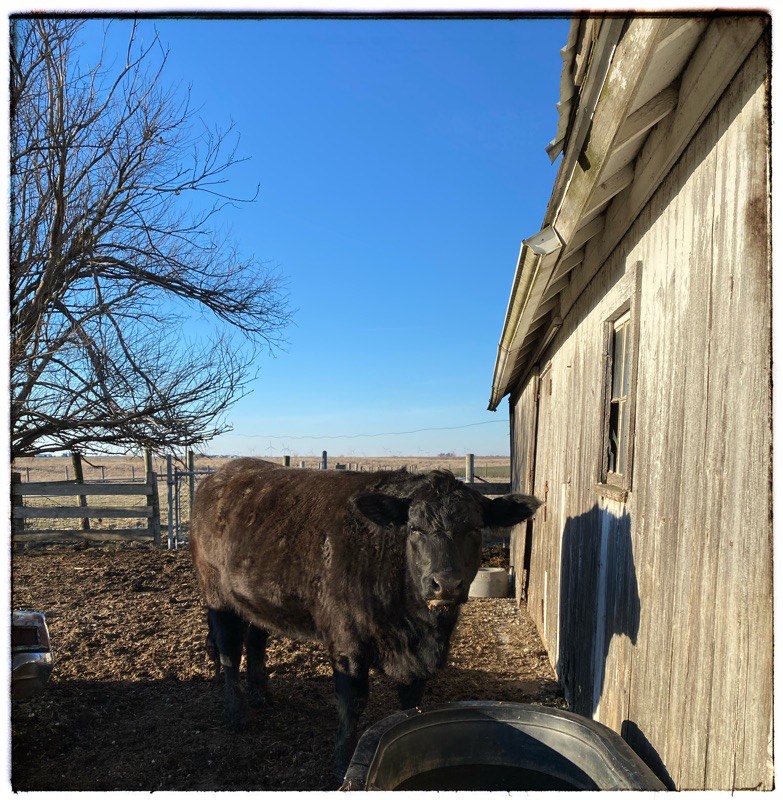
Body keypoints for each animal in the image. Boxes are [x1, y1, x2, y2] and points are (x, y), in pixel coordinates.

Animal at [189, 458, 539, 781]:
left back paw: (260, 694)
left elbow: (412, 705)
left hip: (256, 598)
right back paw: (236, 713)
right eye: (415, 528)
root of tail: (222, 474)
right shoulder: (347, 640)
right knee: (229, 650)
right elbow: (353, 701)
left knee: (256, 639)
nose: (446, 583)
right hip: (216, 595)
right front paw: (343, 762)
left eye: (475, 528)